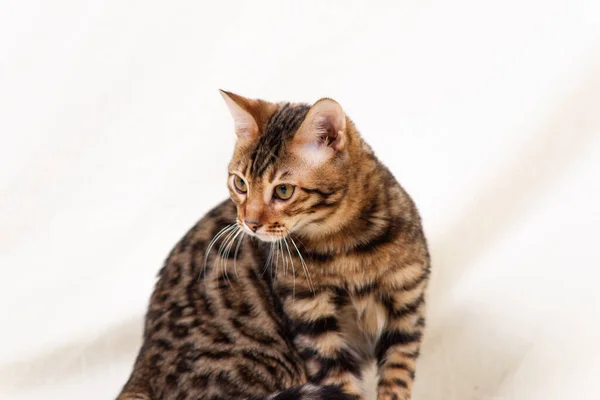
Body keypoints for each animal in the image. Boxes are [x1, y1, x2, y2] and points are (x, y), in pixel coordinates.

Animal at [118, 91, 432, 400]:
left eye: (283, 191)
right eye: (240, 184)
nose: (249, 223)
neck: (344, 246)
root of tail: (140, 369)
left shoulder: (406, 306)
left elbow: (397, 378)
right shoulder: (311, 318)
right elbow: (341, 382)